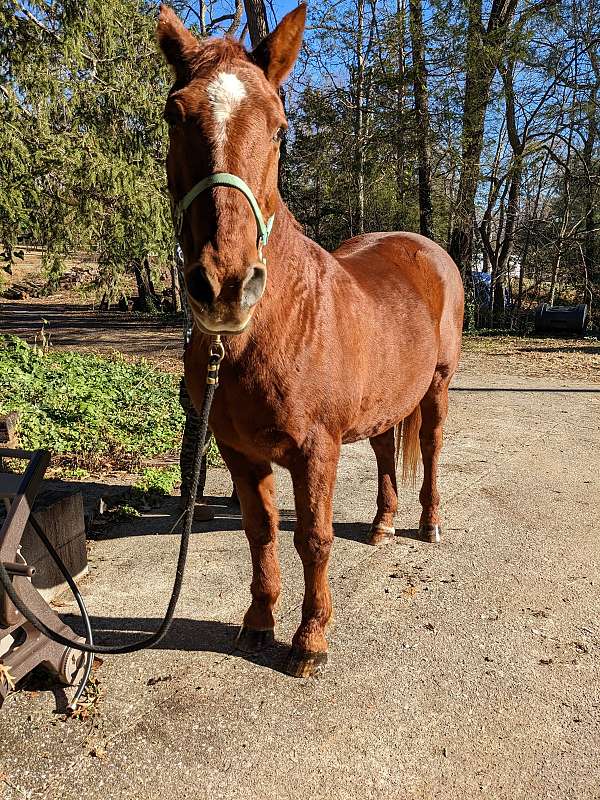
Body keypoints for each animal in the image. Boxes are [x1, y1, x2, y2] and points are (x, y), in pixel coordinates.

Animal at [156, 4, 464, 676]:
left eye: (278, 127)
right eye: (175, 113)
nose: (226, 283)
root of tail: (425, 247)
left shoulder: (315, 451)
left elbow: (314, 539)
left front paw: (310, 640)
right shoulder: (239, 451)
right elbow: (261, 532)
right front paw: (258, 624)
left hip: (436, 387)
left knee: (428, 449)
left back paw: (428, 525)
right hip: (382, 401)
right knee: (384, 451)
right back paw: (382, 525)